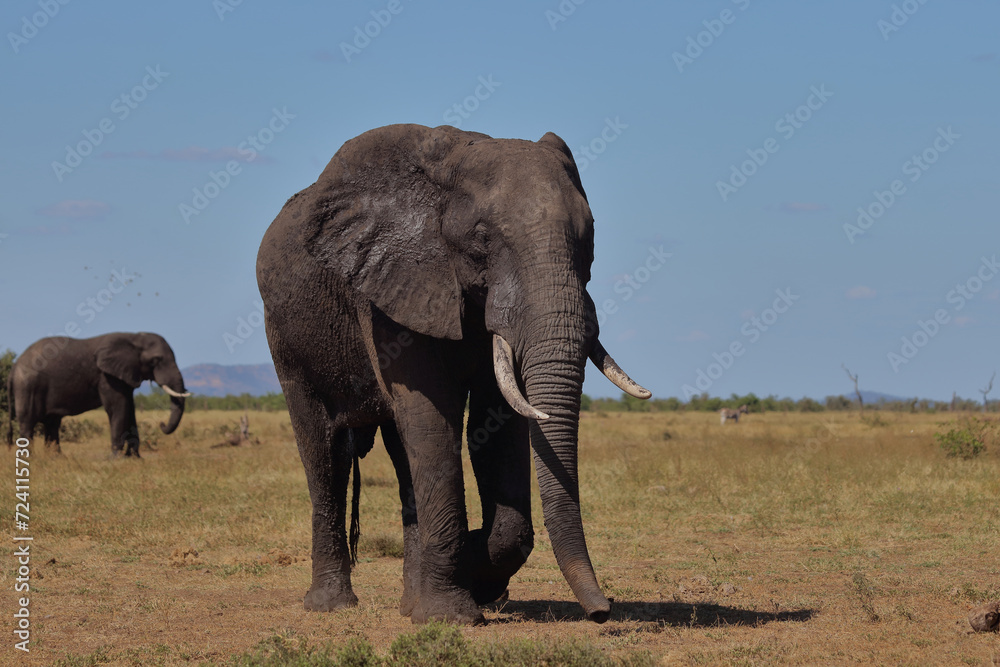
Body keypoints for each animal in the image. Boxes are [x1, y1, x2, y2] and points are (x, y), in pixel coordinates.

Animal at [6, 332, 190, 457]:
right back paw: (30, 460)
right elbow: (118, 408)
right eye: (155, 360)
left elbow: (129, 409)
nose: (161, 424)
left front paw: (135, 459)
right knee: (28, 423)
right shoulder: (107, 376)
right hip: (28, 387)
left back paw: (56, 458)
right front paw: (116, 459)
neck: (133, 337)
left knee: (52, 423)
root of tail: (14, 366)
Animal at [256, 123, 650, 625]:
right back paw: (331, 606)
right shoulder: (392, 286)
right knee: (323, 449)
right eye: (482, 238)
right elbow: (431, 414)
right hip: (286, 337)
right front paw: (455, 612)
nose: (601, 611)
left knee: (402, 455)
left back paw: (411, 604)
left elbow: (495, 419)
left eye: (591, 237)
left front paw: (475, 577)